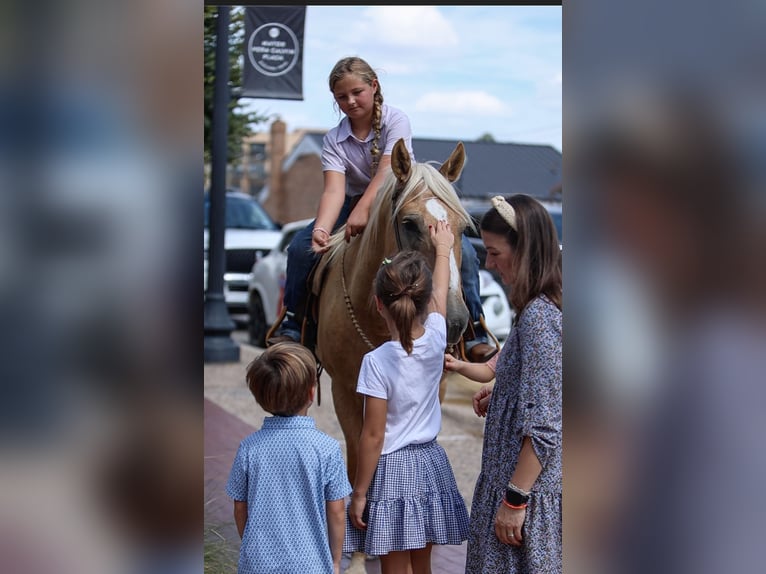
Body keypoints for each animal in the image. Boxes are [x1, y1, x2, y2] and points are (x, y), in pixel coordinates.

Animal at [312, 140, 474, 574]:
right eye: (411, 223)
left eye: (463, 228)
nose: (454, 322)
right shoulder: (345, 390)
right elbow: (358, 459)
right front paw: (356, 550)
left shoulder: (437, 387)